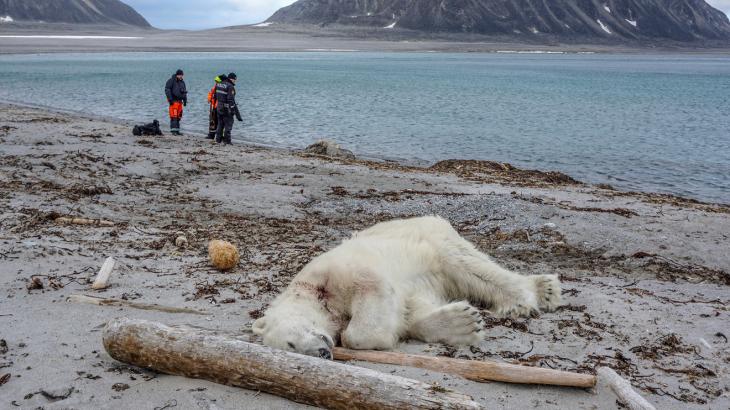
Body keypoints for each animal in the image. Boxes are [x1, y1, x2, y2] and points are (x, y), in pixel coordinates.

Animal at [253, 216, 560, 358]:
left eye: (290, 343)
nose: (322, 352)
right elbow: (411, 310)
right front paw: (463, 323)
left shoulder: (335, 272)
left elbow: (370, 295)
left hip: (433, 239)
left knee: (470, 266)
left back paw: (531, 295)